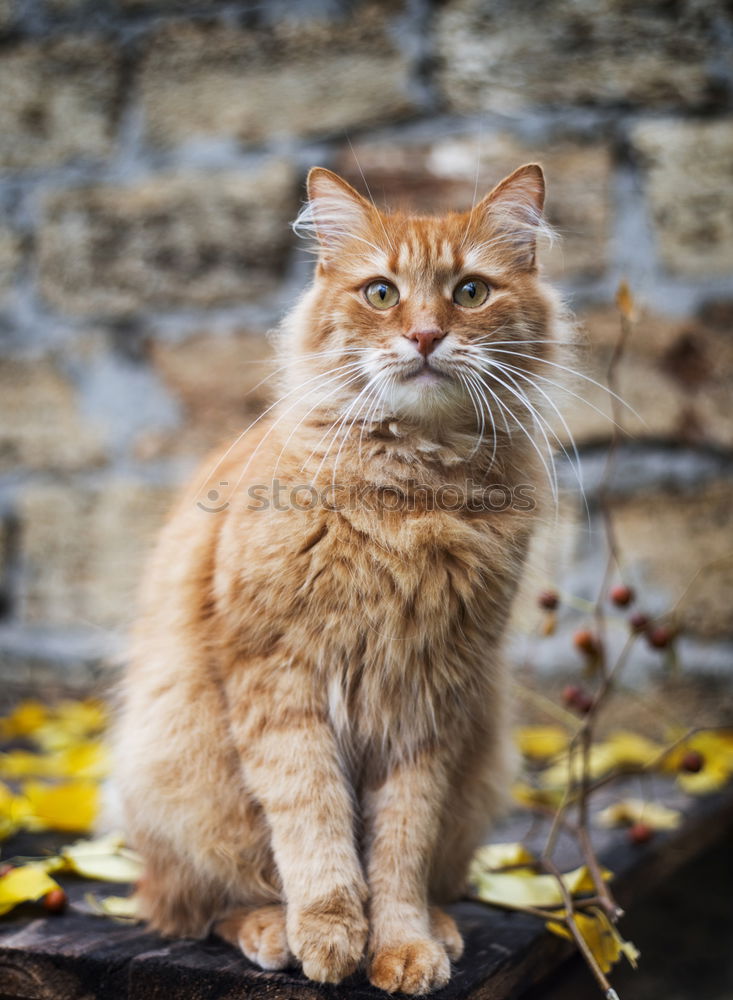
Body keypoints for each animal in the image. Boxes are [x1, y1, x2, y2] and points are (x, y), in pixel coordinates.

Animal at [114, 164, 568, 992]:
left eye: (470, 292)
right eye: (381, 293)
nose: (424, 335)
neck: (409, 497)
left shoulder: (427, 697)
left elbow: (398, 853)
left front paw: (401, 947)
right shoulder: (280, 682)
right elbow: (314, 829)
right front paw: (327, 939)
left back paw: (440, 926)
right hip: (181, 769)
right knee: (195, 906)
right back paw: (272, 929)